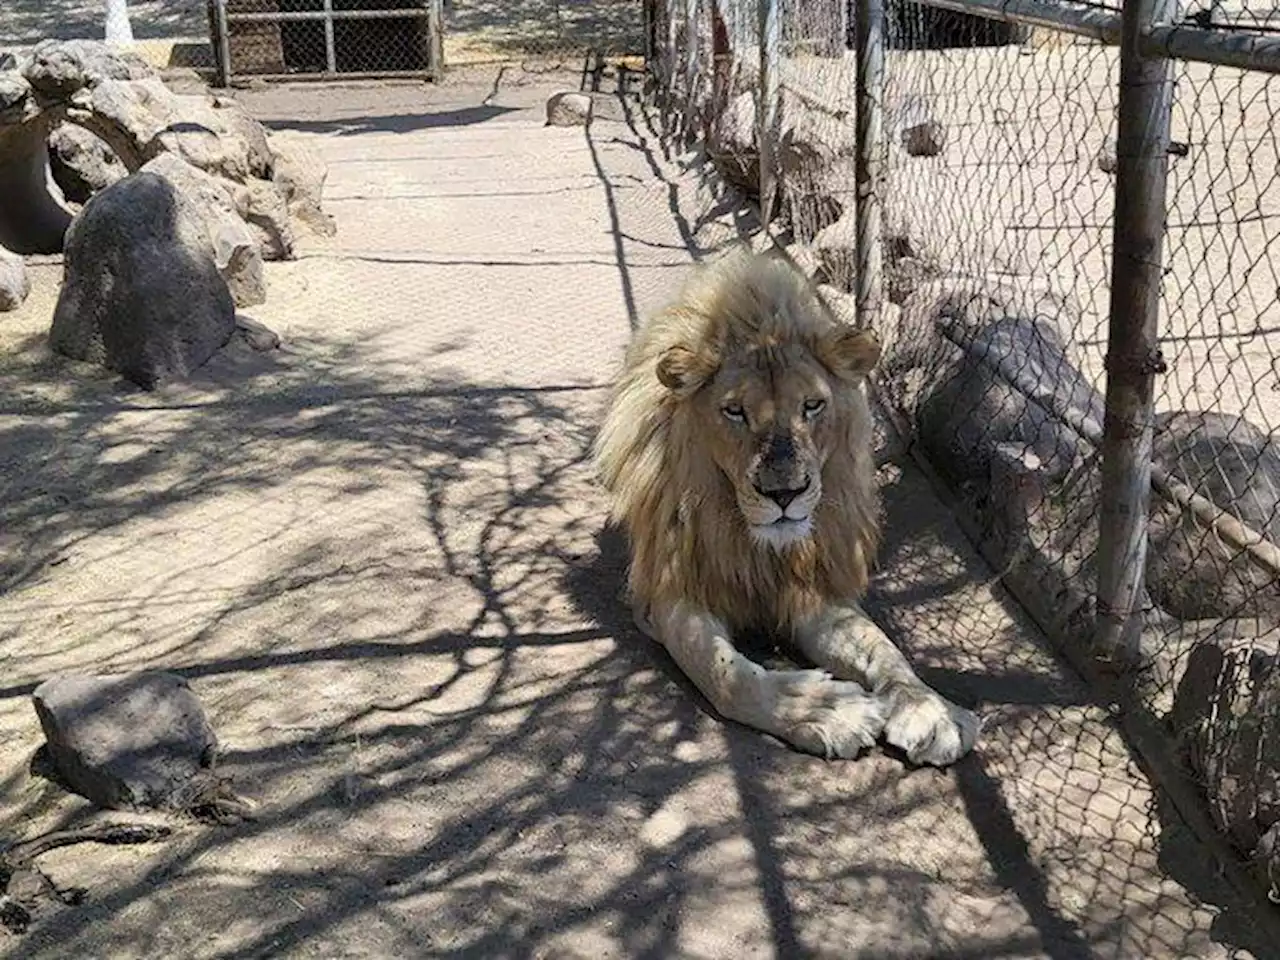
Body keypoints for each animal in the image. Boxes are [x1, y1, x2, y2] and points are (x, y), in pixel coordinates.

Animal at [588, 245, 977, 768]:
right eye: (734, 411)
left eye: (812, 406)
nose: (785, 494)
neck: (754, 542)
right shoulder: (674, 591)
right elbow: (725, 672)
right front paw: (823, 711)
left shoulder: (813, 590)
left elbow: (884, 648)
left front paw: (930, 709)